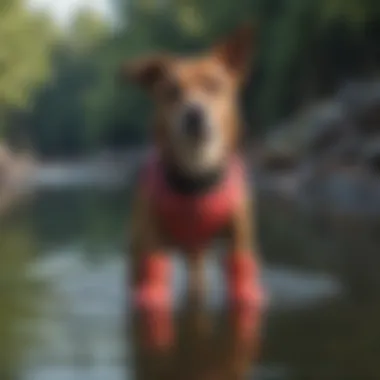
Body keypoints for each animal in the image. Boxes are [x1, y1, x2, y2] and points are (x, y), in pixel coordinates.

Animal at [121, 25, 264, 314]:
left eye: (215, 85)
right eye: (171, 91)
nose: (194, 114)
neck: (197, 175)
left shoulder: (240, 241)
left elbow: (242, 279)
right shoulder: (151, 246)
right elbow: (152, 284)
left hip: (198, 255)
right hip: (139, 244)